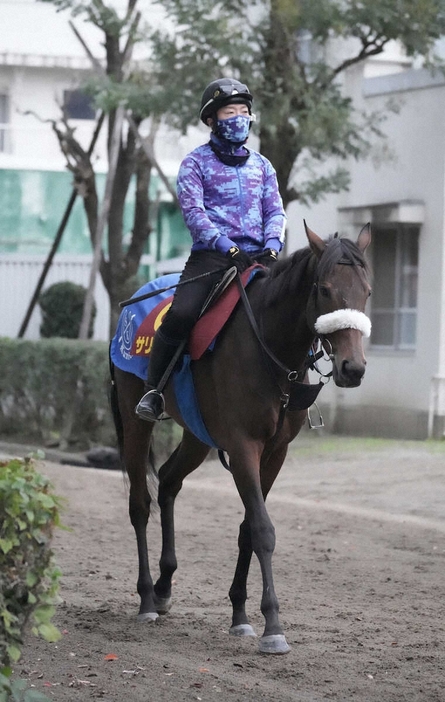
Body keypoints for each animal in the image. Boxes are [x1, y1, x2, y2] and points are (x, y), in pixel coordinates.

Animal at [108, 223, 372, 656]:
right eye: (324, 289)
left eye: (366, 291)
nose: (353, 368)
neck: (269, 345)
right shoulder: (243, 445)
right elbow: (263, 529)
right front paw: (273, 626)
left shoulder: (275, 452)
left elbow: (249, 527)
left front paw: (240, 615)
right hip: (135, 420)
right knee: (140, 504)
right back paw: (147, 598)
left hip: (197, 433)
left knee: (168, 481)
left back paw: (164, 587)